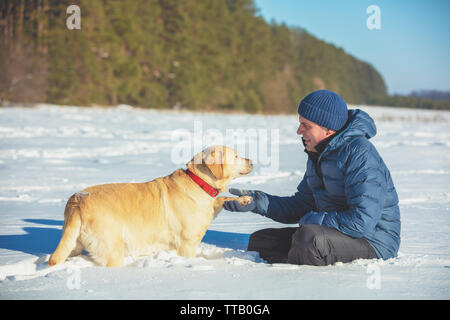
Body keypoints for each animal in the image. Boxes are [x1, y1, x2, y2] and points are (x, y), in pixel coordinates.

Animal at [50, 146, 253, 266]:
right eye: (236, 156)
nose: (251, 160)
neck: (198, 182)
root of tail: (77, 201)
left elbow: (222, 199)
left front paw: (244, 199)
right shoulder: (186, 243)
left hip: (73, 243)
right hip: (112, 247)